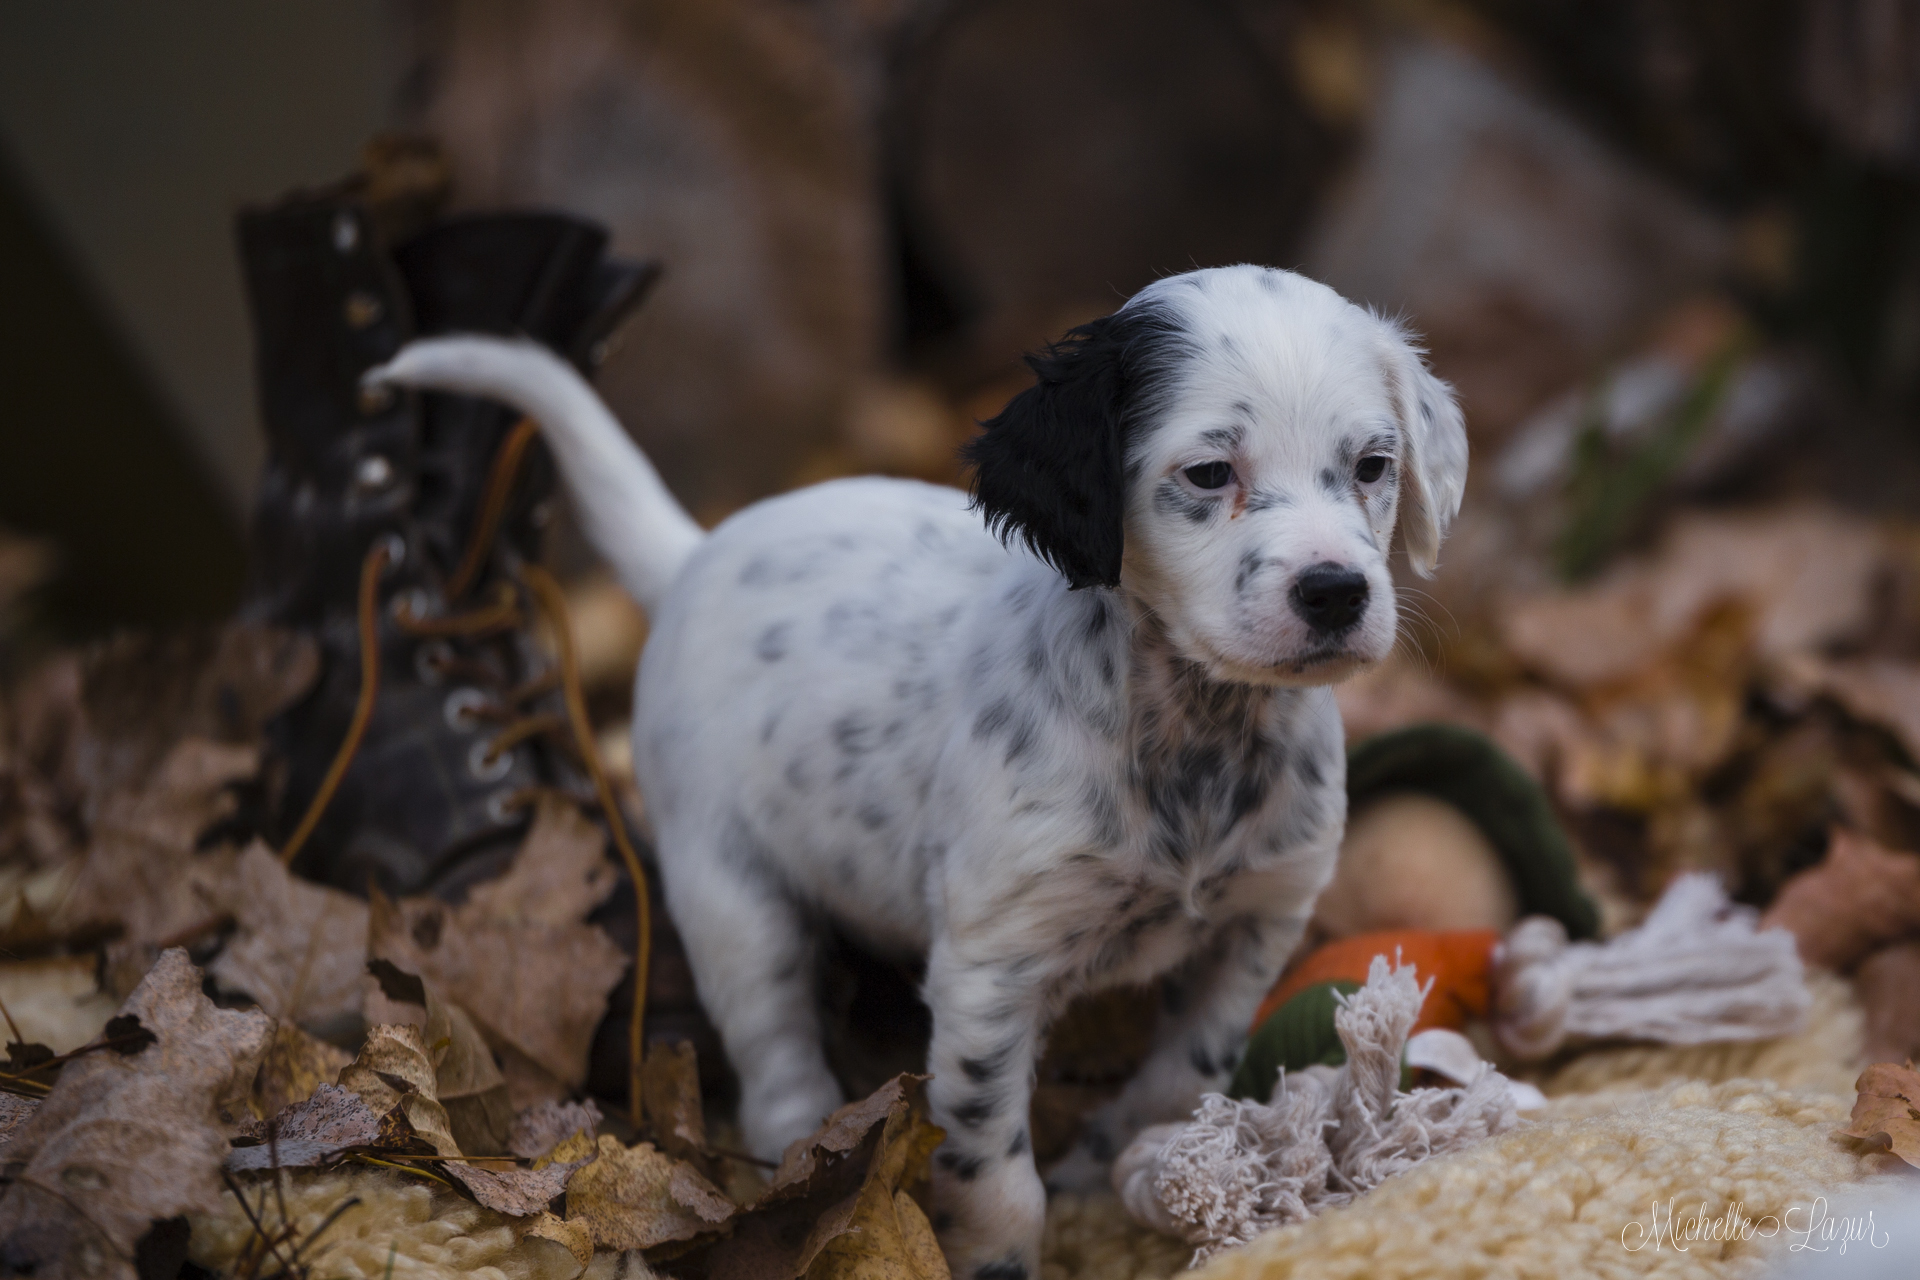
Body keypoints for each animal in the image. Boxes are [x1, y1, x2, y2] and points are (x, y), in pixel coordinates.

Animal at [370, 264, 1466, 1274]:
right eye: (1208, 474)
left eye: (1373, 464)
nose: (1336, 590)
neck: (1193, 736)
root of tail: (698, 553)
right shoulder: (993, 965)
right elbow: (995, 1168)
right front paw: (995, 1254)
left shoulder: (1258, 920)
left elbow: (1182, 1070)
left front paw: (1122, 1158)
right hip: (730, 886)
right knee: (771, 1040)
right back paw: (800, 1146)